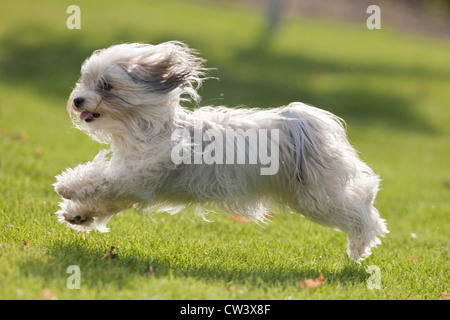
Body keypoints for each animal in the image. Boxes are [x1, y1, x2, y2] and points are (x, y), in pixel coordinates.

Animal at [55, 40, 386, 260]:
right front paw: (78, 215)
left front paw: (68, 186)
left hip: (318, 197)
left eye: (106, 86)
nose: (78, 100)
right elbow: (106, 199)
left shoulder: (139, 174)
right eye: (85, 81)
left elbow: (101, 180)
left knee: (362, 210)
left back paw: (360, 244)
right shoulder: (135, 185)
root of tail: (302, 123)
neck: (147, 126)